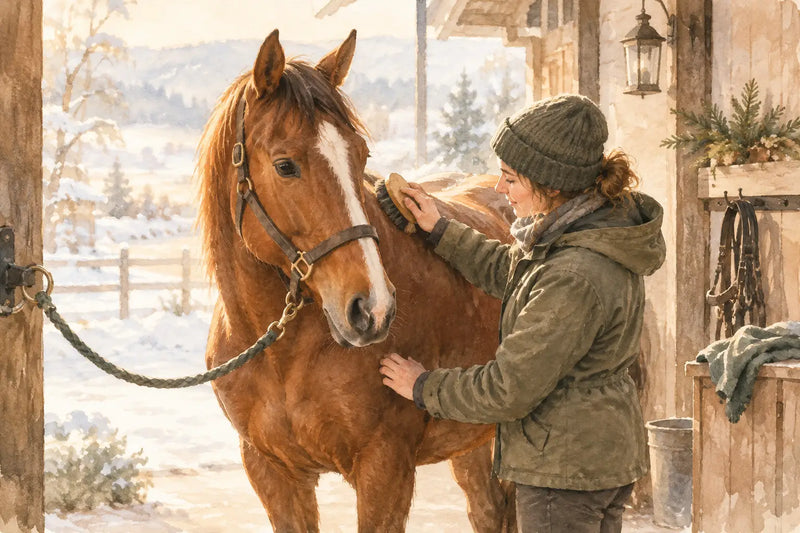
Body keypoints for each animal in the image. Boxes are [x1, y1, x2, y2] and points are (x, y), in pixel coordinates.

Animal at [196, 29, 515, 532]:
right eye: (284, 165)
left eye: (360, 155)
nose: (373, 309)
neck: (284, 356)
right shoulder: (272, 473)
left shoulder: (385, 468)